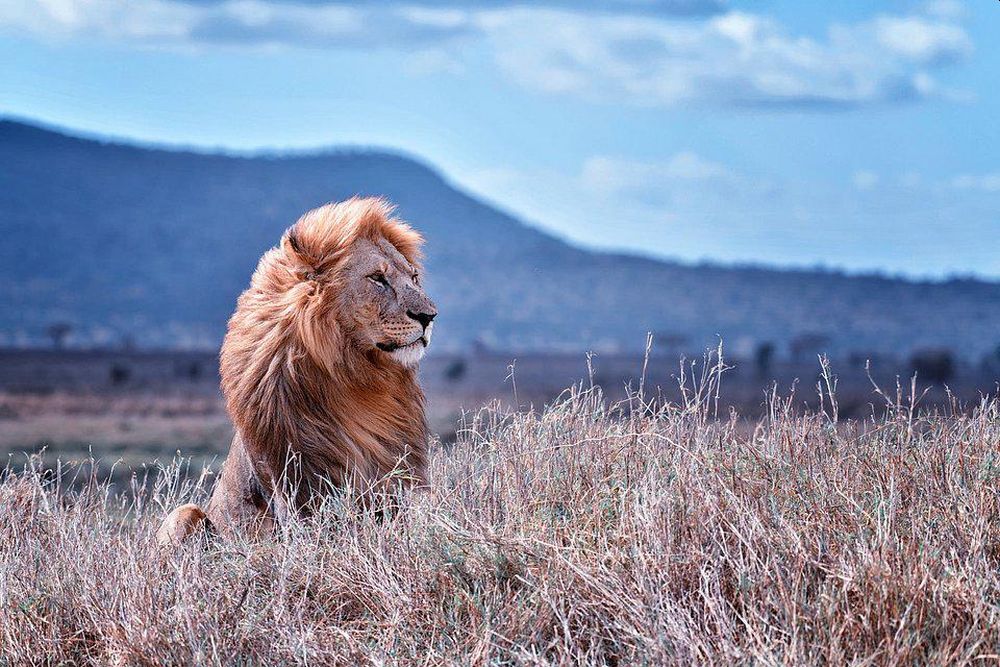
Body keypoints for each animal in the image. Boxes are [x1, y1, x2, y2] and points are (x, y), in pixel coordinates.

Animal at [158, 197, 436, 544]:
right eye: (377, 278)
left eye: (414, 278)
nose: (430, 316)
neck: (357, 374)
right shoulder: (298, 485)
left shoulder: (396, 479)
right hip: (183, 513)